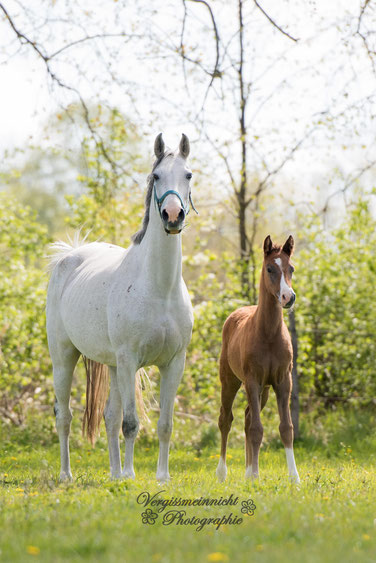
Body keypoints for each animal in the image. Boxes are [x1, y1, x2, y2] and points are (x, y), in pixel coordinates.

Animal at [47, 134, 197, 482]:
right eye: (156, 176)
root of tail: (69, 256)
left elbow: (164, 425)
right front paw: (130, 475)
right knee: (64, 416)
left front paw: (161, 477)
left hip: (112, 366)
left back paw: (114, 474)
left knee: (109, 415)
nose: (173, 216)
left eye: (188, 175)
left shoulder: (174, 363)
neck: (159, 288)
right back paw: (67, 475)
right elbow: (131, 424)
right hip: (64, 358)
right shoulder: (130, 361)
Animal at [217, 236, 300, 482]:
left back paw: (248, 471)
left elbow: (286, 428)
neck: (269, 334)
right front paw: (255, 477)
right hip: (231, 381)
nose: (288, 297)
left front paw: (294, 477)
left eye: (291, 268)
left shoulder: (283, 382)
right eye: (270, 268)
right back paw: (223, 473)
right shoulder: (252, 381)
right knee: (226, 419)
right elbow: (257, 429)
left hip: (265, 389)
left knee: (246, 416)